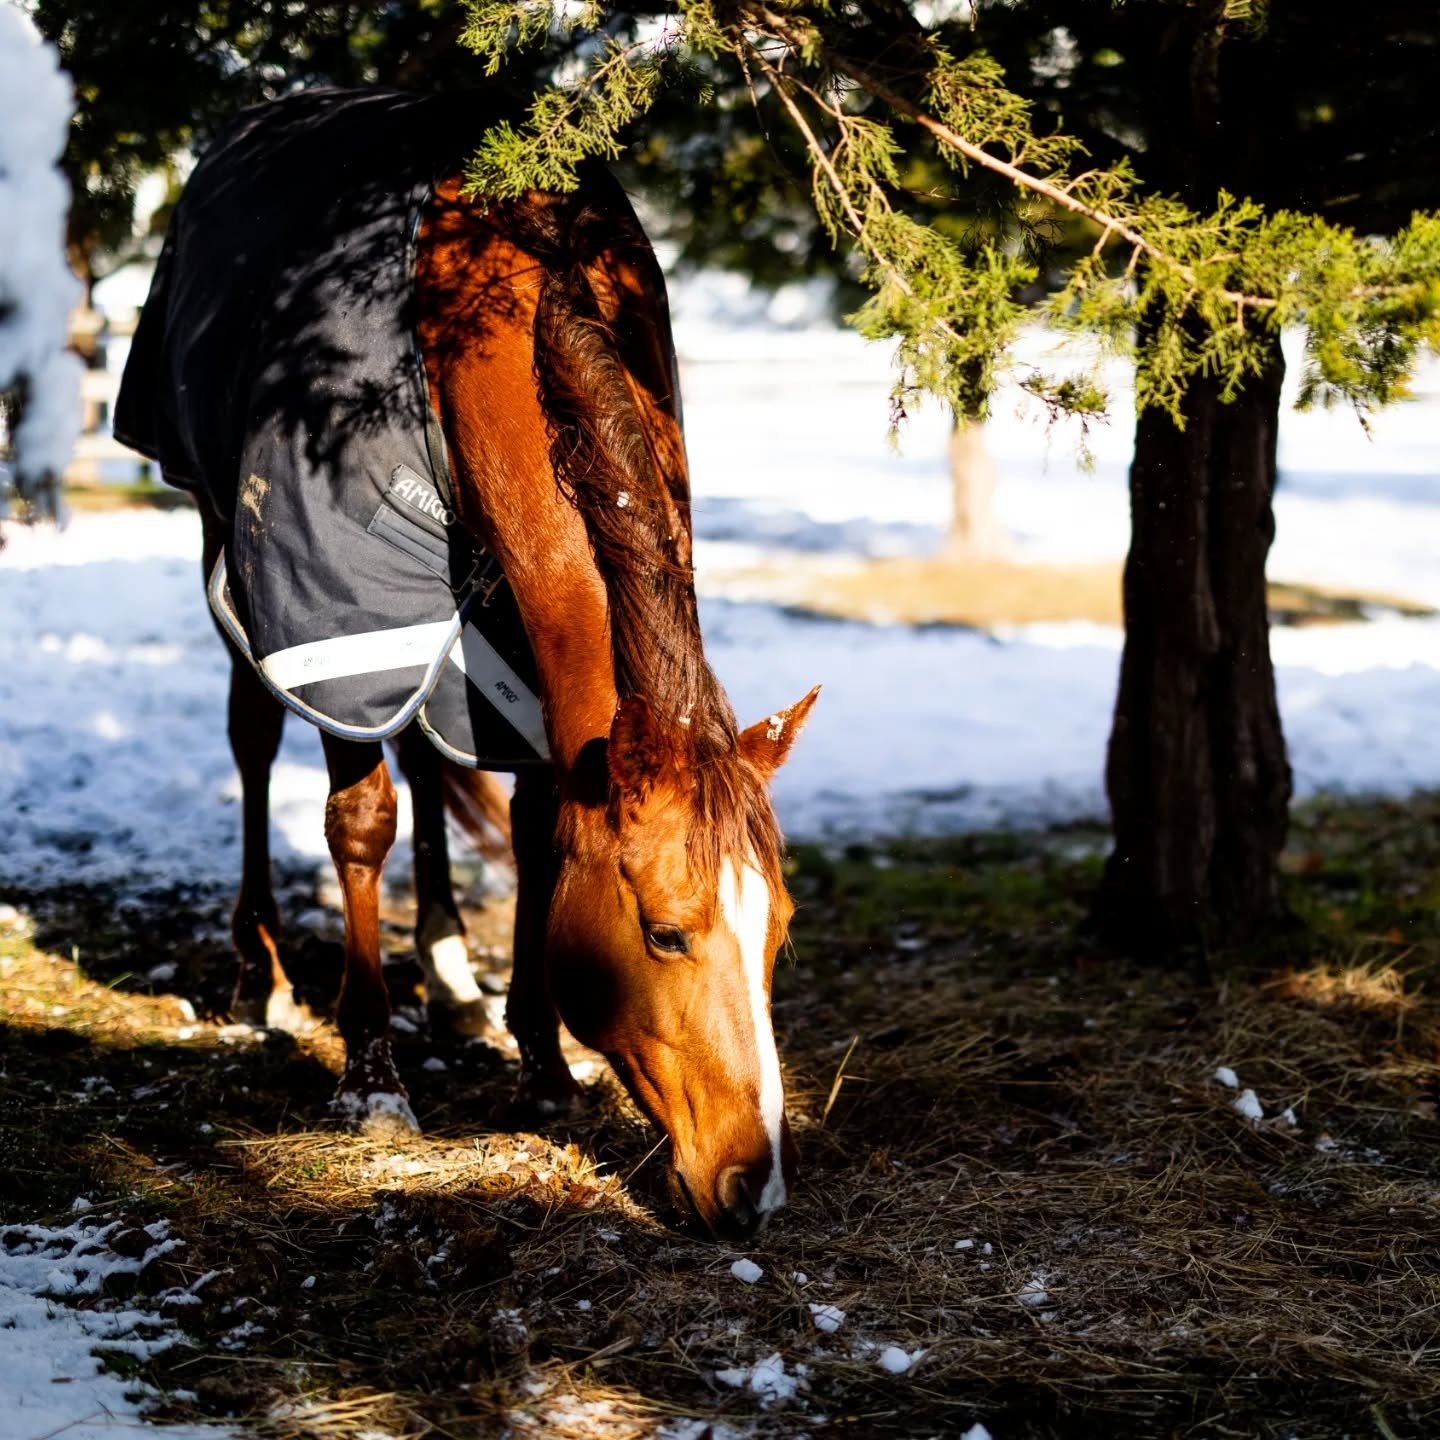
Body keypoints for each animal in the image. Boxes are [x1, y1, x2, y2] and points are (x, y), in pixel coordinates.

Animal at [114, 88, 818, 1238]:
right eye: (668, 934)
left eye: (781, 935)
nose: (754, 1187)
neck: (496, 289)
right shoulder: (335, 610)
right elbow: (361, 820)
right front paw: (371, 1079)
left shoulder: (523, 647)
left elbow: (537, 830)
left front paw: (541, 1061)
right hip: (226, 527)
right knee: (256, 737)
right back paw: (261, 973)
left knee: (427, 756)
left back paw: (448, 976)